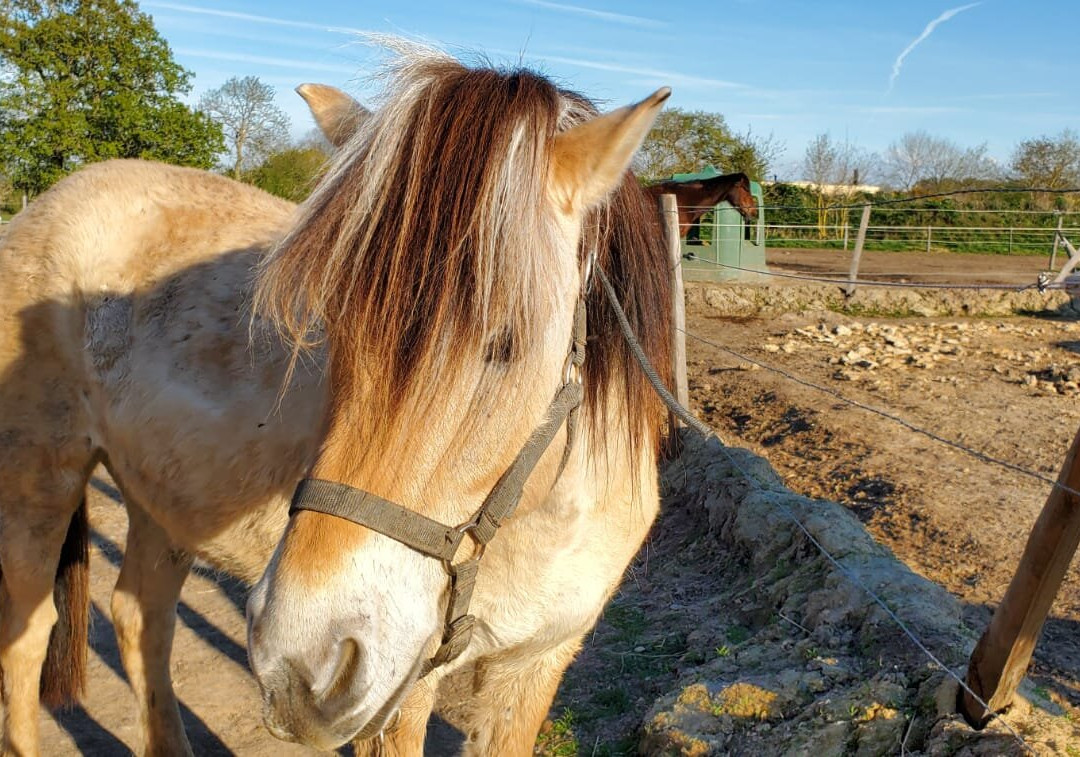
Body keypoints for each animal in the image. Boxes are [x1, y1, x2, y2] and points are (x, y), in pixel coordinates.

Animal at [0, 42, 669, 755]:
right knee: (28, 637)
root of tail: (47, 203)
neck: (543, 521)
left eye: (506, 343)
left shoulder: (534, 669)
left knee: (139, 616)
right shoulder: (402, 694)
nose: (303, 665)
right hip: (38, 482)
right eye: (333, 327)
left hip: (163, 496)